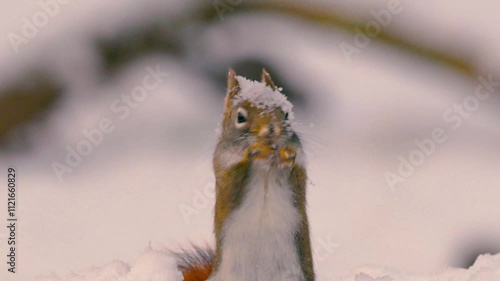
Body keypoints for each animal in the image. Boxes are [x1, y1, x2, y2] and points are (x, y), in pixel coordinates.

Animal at [176, 68, 314, 280]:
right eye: (240, 117)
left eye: (286, 114)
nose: (271, 129)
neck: (267, 165)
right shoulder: (223, 167)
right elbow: (233, 182)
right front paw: (252, 152)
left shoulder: (300, 166)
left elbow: (296, 177)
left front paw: (287, 155)